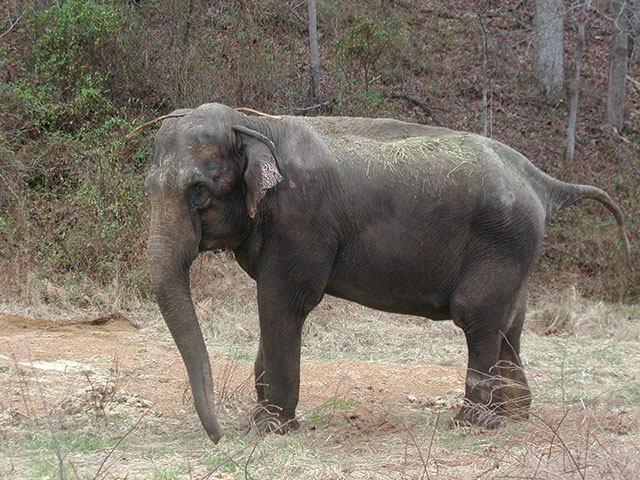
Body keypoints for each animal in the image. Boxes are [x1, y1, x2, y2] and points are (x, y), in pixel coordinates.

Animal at [144, 102, 630, 444]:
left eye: (198, 192)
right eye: (148, 187)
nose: (217, 436)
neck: (253, 122)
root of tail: (541, 182)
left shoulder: (301, 223)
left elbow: (283, 301)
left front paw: (266, 431)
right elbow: (273, 304)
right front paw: (261, 421)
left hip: (502, 242)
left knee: (479, 318)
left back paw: (471, 424)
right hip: (516, 253)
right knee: (512, 323)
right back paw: (512, 419)